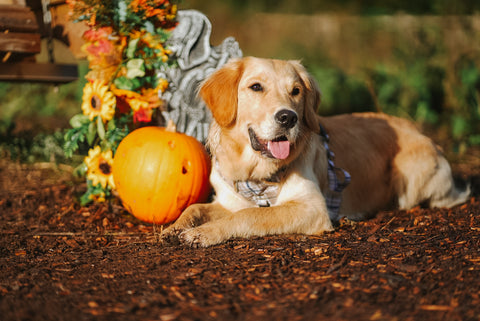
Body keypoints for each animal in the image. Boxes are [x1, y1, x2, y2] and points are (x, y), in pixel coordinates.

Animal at [160, 56, 468, 246]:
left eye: (296, 91)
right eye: (256, 87)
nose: (288, 118)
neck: (256, 173)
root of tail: (424, 133)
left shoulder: (312, 207)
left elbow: (250, 216)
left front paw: (204, 234)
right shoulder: (227, 200)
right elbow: (195, 207)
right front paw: (175, 227)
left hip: (413, 178)